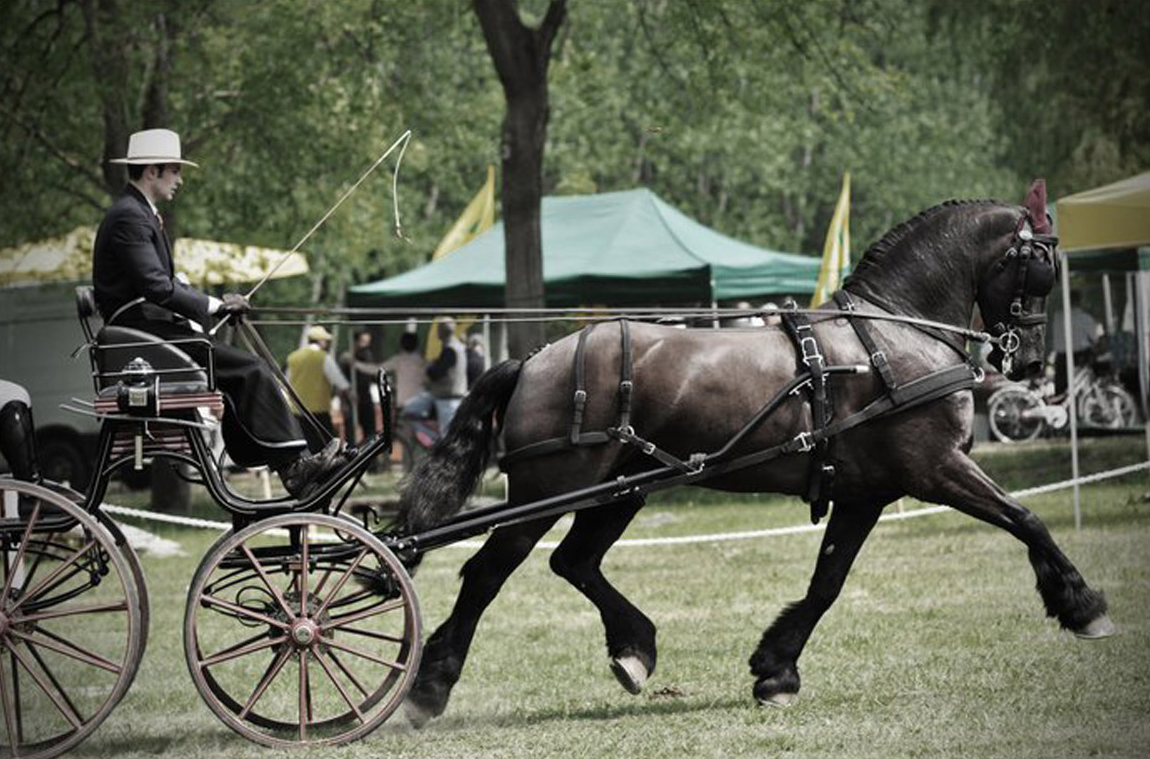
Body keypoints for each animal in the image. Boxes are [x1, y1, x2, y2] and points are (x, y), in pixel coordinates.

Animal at [395, 182, 1113, 726]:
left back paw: (633, 648)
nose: (1032, 359)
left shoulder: (866, 493)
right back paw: (430, 685)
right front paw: (1082, 605)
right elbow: (1026, 518)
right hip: (547, 490)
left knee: (574, 561)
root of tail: (535, 359)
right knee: (488, 573)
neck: (892, 336)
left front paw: (776, 668)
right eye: (1043, 264)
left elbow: (827, 581)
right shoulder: (936, 468)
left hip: (624, 489)